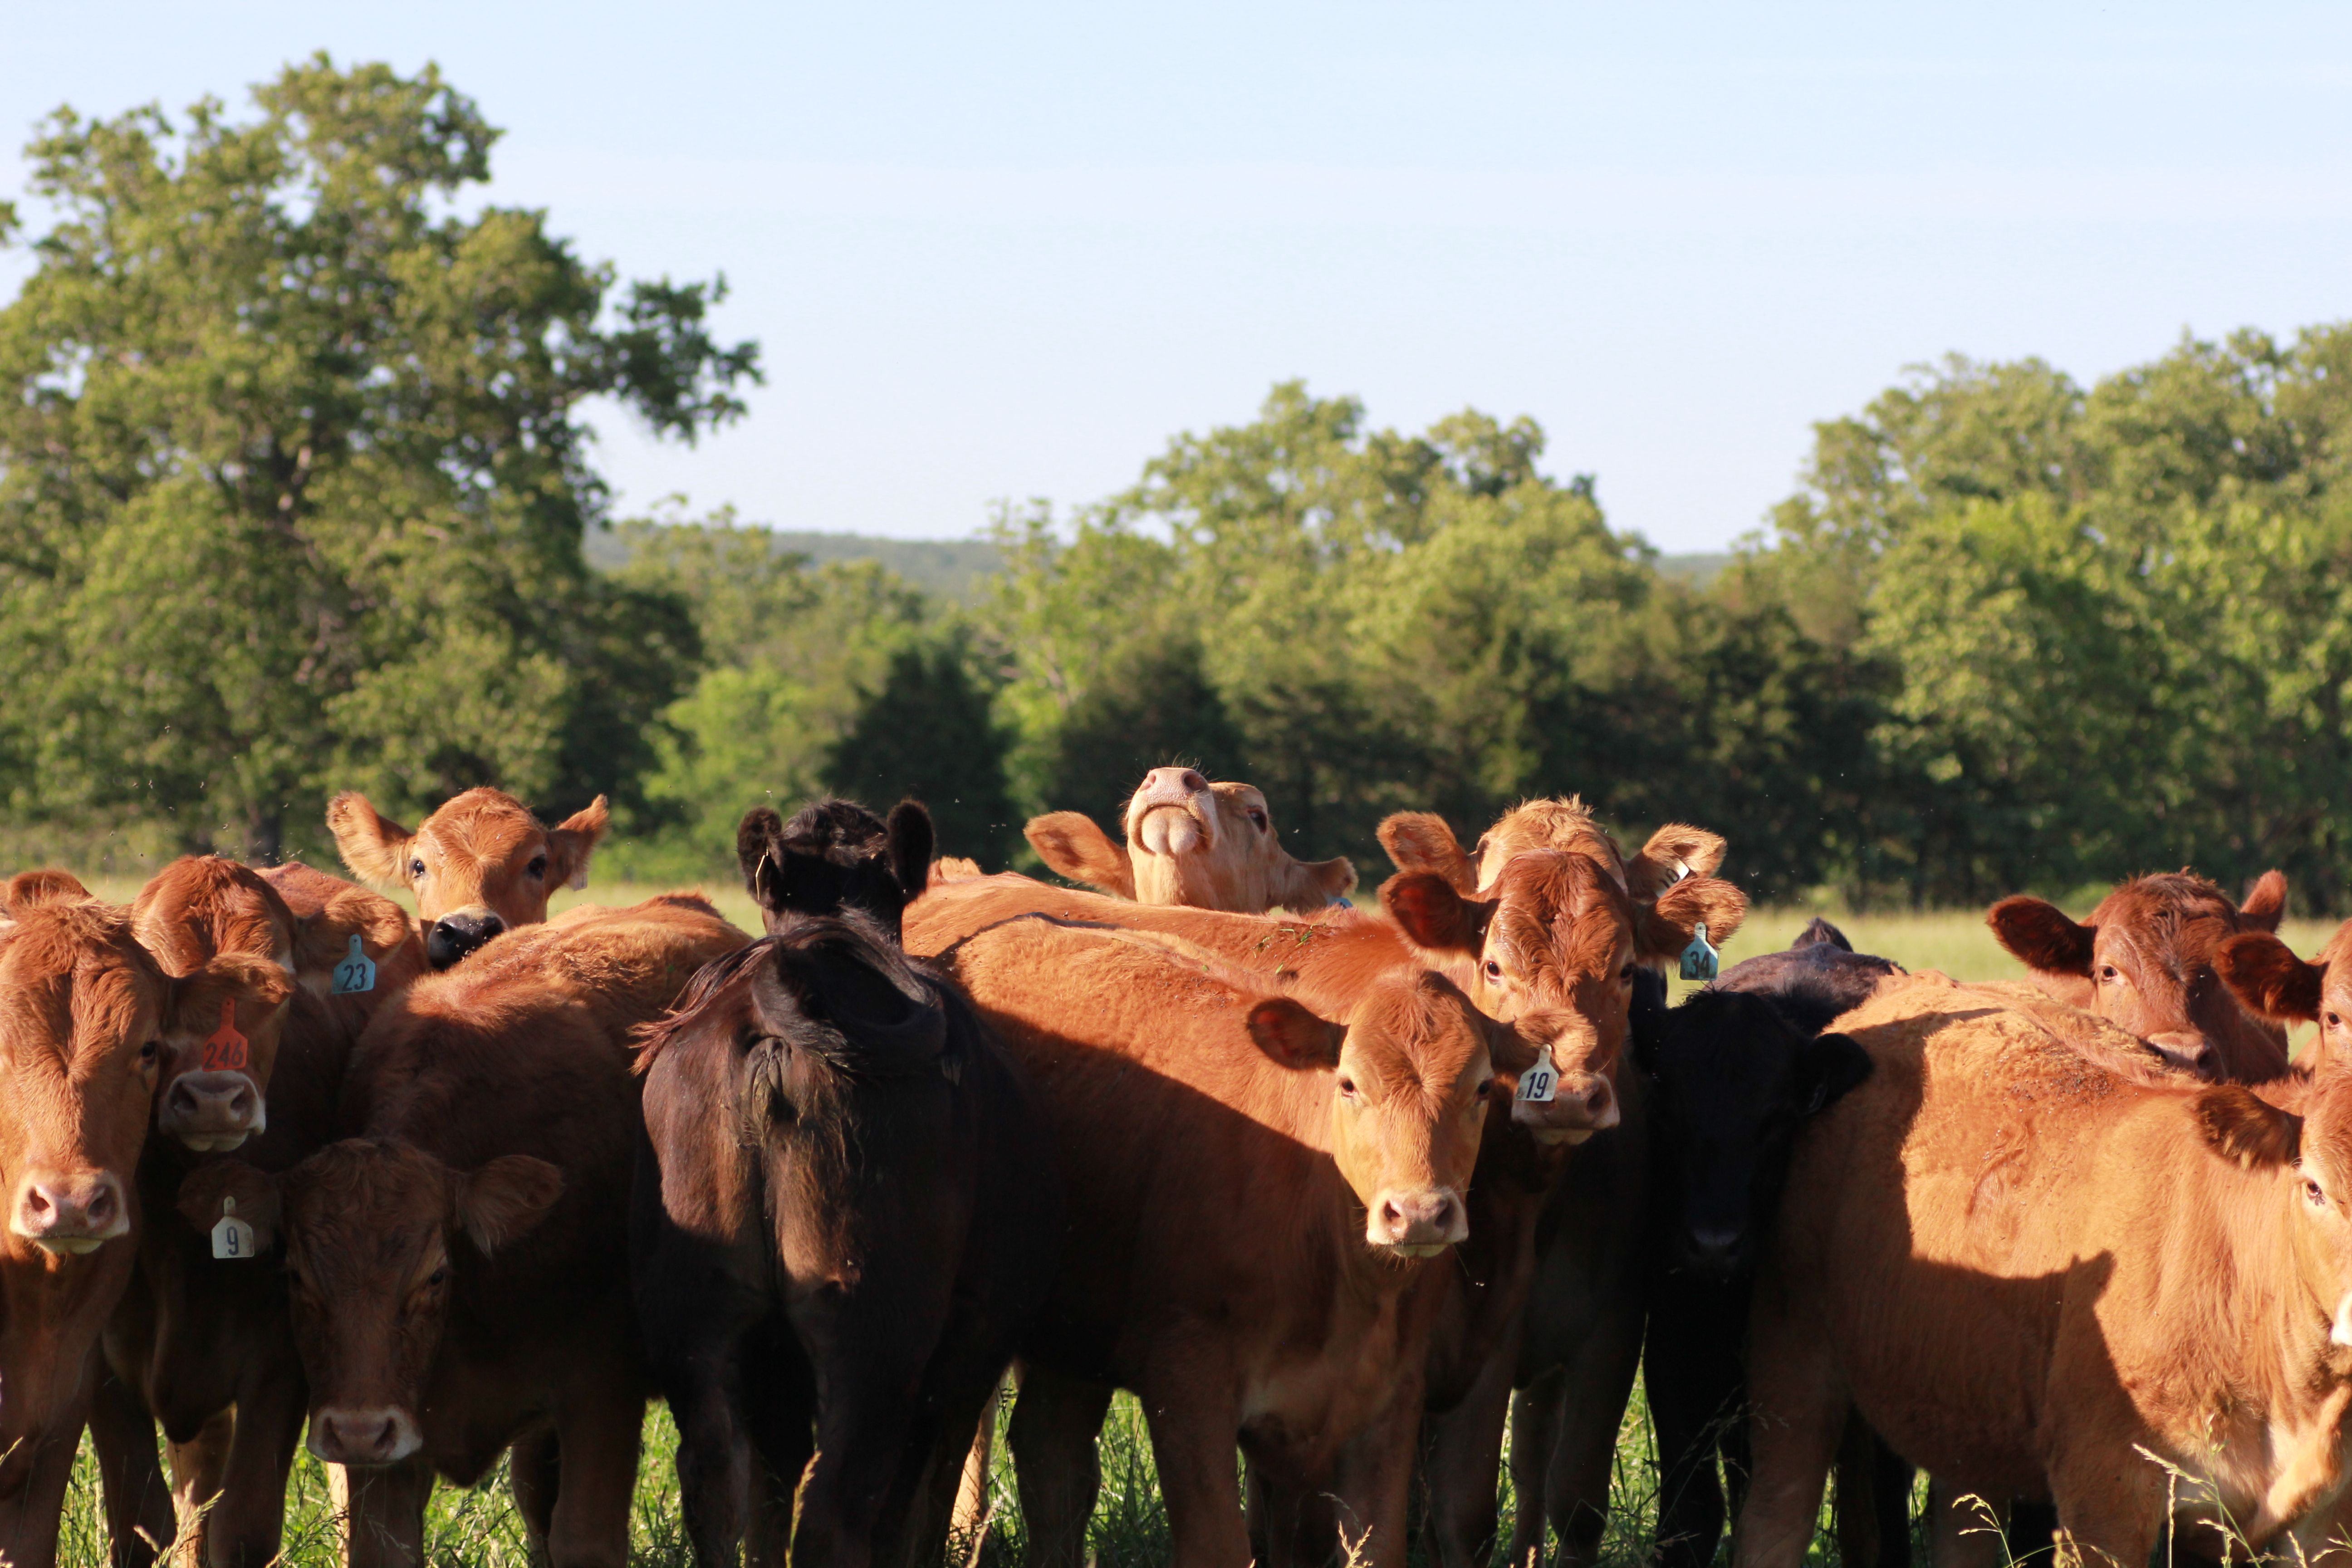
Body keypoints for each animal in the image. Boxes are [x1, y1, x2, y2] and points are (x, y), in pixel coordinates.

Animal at [92, 858, 417, 1568]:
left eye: (281, 988)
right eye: (158, 991)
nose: (214, 1098)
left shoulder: (281, 1358)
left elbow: (243, 1528)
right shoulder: (100, 1366)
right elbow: (139, 1525)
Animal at [181, 896, 747, 1568]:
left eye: (434, 1276)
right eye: (295, 1275)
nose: (358, 1430)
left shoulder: (602, 1392)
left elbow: (584, 1537)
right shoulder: (389, 1452)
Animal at [633, 820, 1059, 1568]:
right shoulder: (974, 1338)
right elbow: (928, 1486)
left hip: (703, 1312)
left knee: (716, 1478)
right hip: (875, 1327)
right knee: (839, 1501)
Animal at [931, 913, 1515, 1568]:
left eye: (1483, 1089)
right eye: (1349, 1084)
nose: (1418, 1213)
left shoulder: (1389, 1400)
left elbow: (1377, 1548)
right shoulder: (1187, 1382)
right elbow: (1217, 1545)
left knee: (1050, 1456)